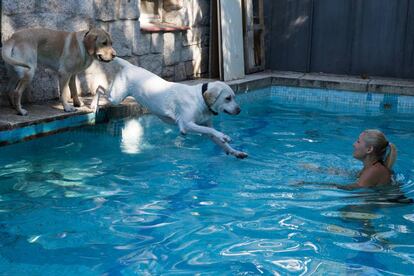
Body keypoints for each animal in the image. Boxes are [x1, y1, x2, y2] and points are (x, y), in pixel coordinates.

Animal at [92, 57, 247, 158]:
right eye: (228, 98)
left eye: (234, 97)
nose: (239, 110)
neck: (200, 100)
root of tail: (130, 66)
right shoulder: (186, 125)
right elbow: (212, 130)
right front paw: (224, 136)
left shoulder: (203, 127)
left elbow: (215, 136)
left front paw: (235, 151)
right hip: (116, 97)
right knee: (99, 88)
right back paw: (93, 103)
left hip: (116, 96)